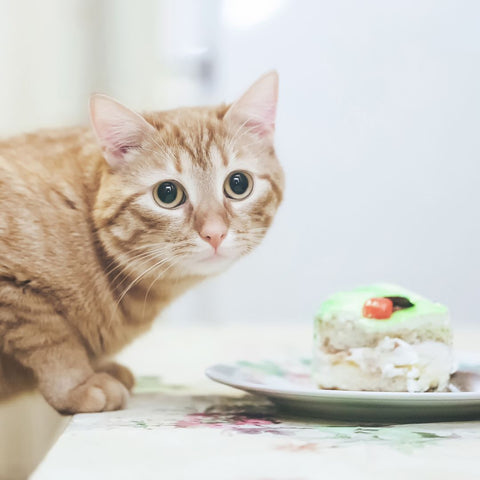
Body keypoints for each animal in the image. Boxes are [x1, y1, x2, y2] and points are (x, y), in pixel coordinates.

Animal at [0, 70, 284, 412]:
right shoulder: (13, 289)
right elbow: (52, 341)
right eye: (168, 193)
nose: (214, 232)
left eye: (238, 184)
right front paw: (78, 384)